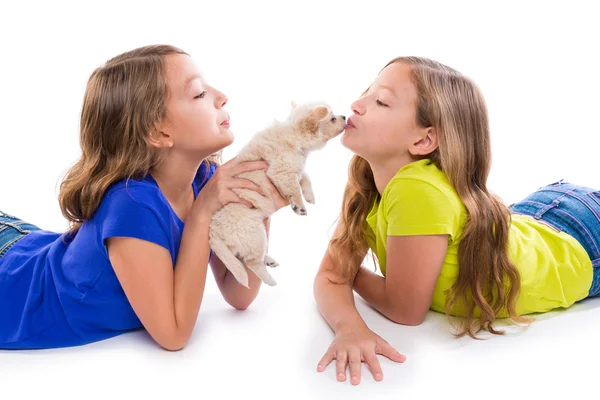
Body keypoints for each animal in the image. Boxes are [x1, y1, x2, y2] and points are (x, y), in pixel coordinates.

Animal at [209, 101, 344, 286]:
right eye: (332, 118)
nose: (345, 116)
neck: (293, 134)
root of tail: (214, 230)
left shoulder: (295, 168)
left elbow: (305, 177)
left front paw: (309, 196)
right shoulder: (283, 172)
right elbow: (294, 188)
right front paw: (300, 205)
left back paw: (269, 261)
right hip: (255, 235)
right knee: (251, 262)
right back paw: (270, 279)